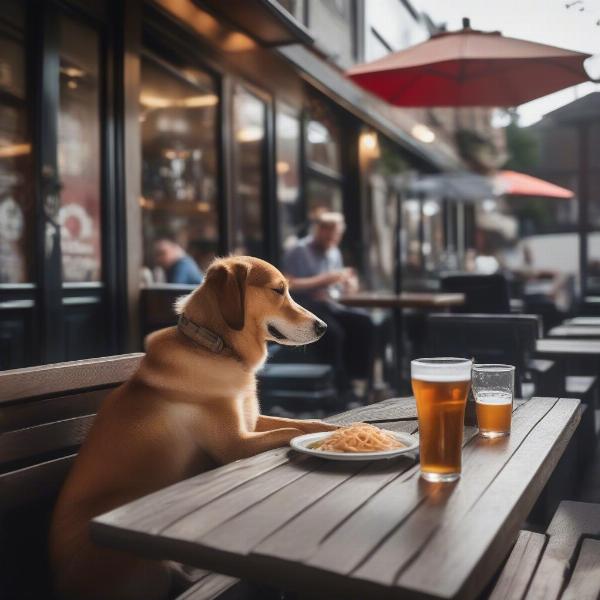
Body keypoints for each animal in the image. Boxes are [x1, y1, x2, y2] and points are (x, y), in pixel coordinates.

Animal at [49, 256, 340, 600]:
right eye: (278, 290)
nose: (323, 327)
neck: (215, 347)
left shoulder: (252, 421)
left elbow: (304, 422)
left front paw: (339, 426)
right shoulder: (236, 444)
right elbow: (291, 433)